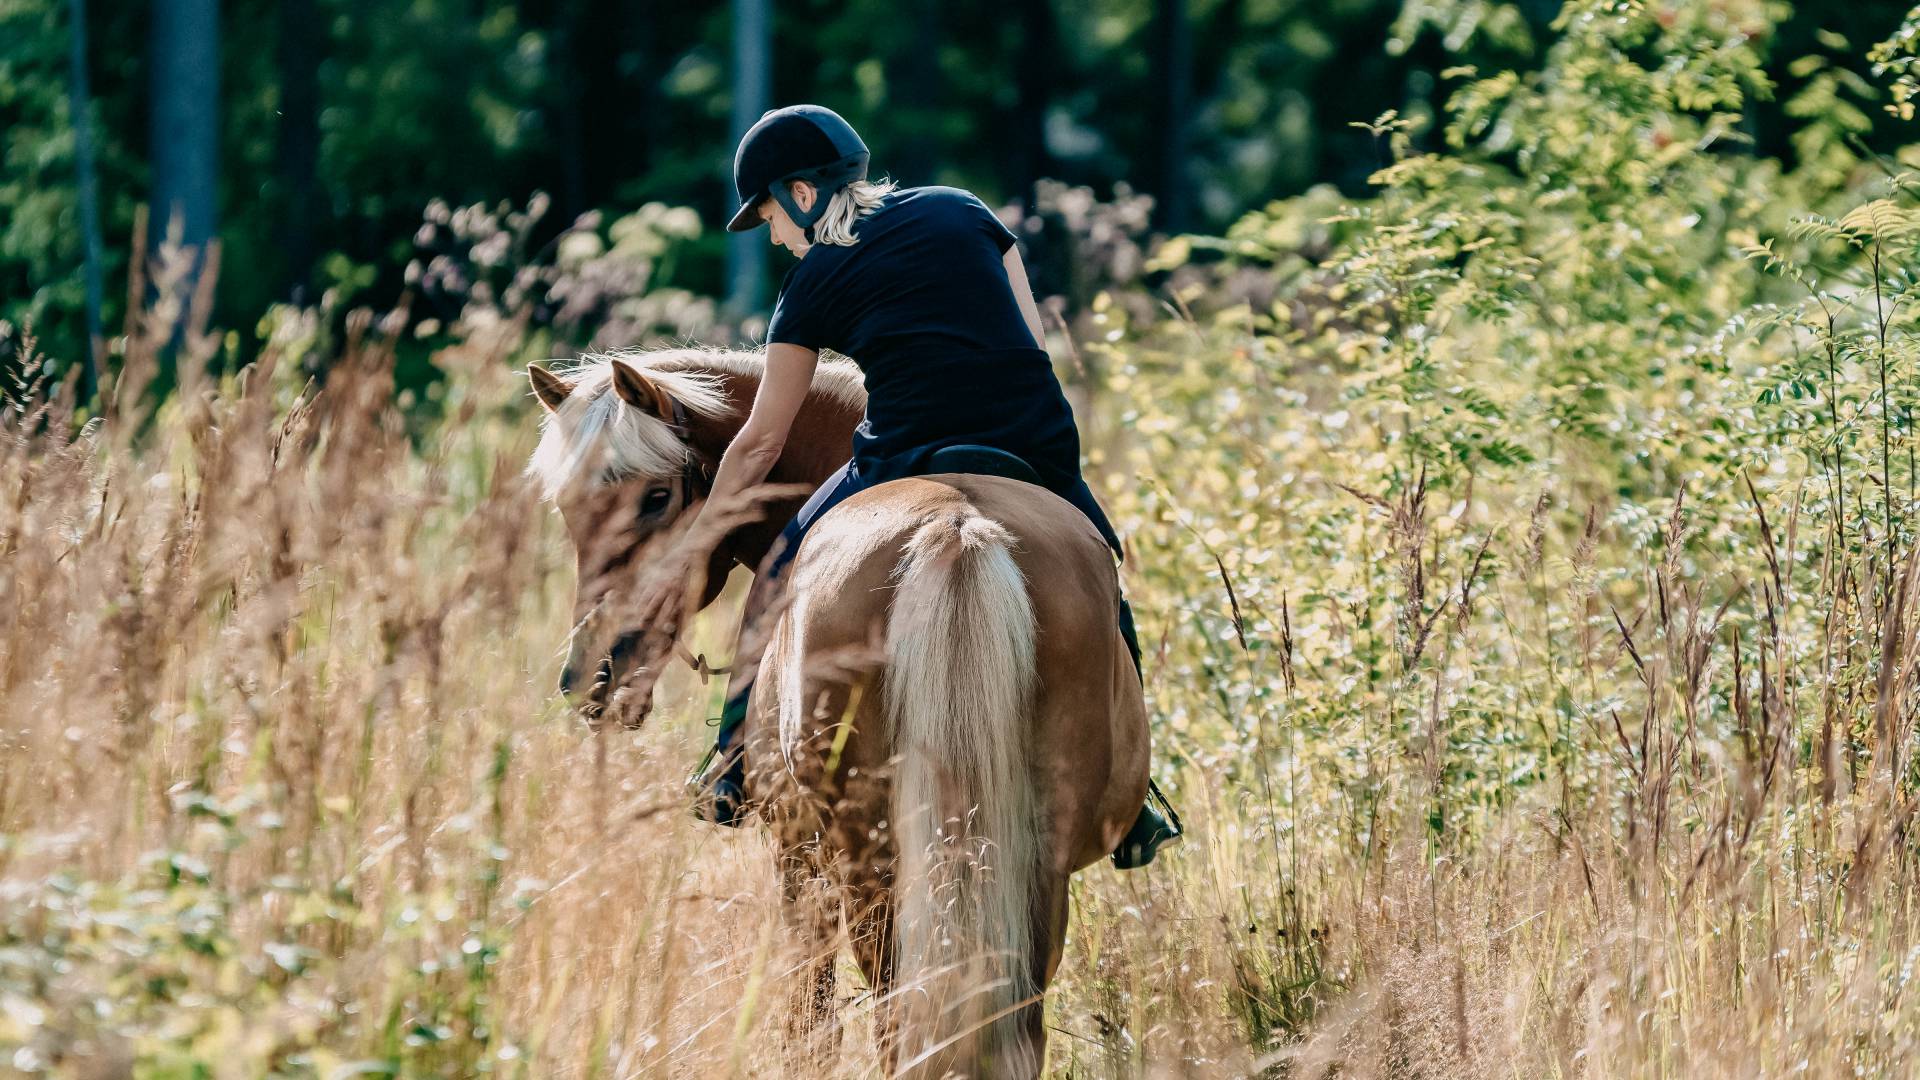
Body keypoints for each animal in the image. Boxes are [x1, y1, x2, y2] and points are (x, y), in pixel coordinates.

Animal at [525, 347, 1151, 1078]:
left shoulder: (796, 854)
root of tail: (955, 528)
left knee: (892, 1016)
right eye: (569, 508)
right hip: (1029, 863)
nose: (592, 676)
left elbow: (810, 1018)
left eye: (656, 498)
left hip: (870, 866)